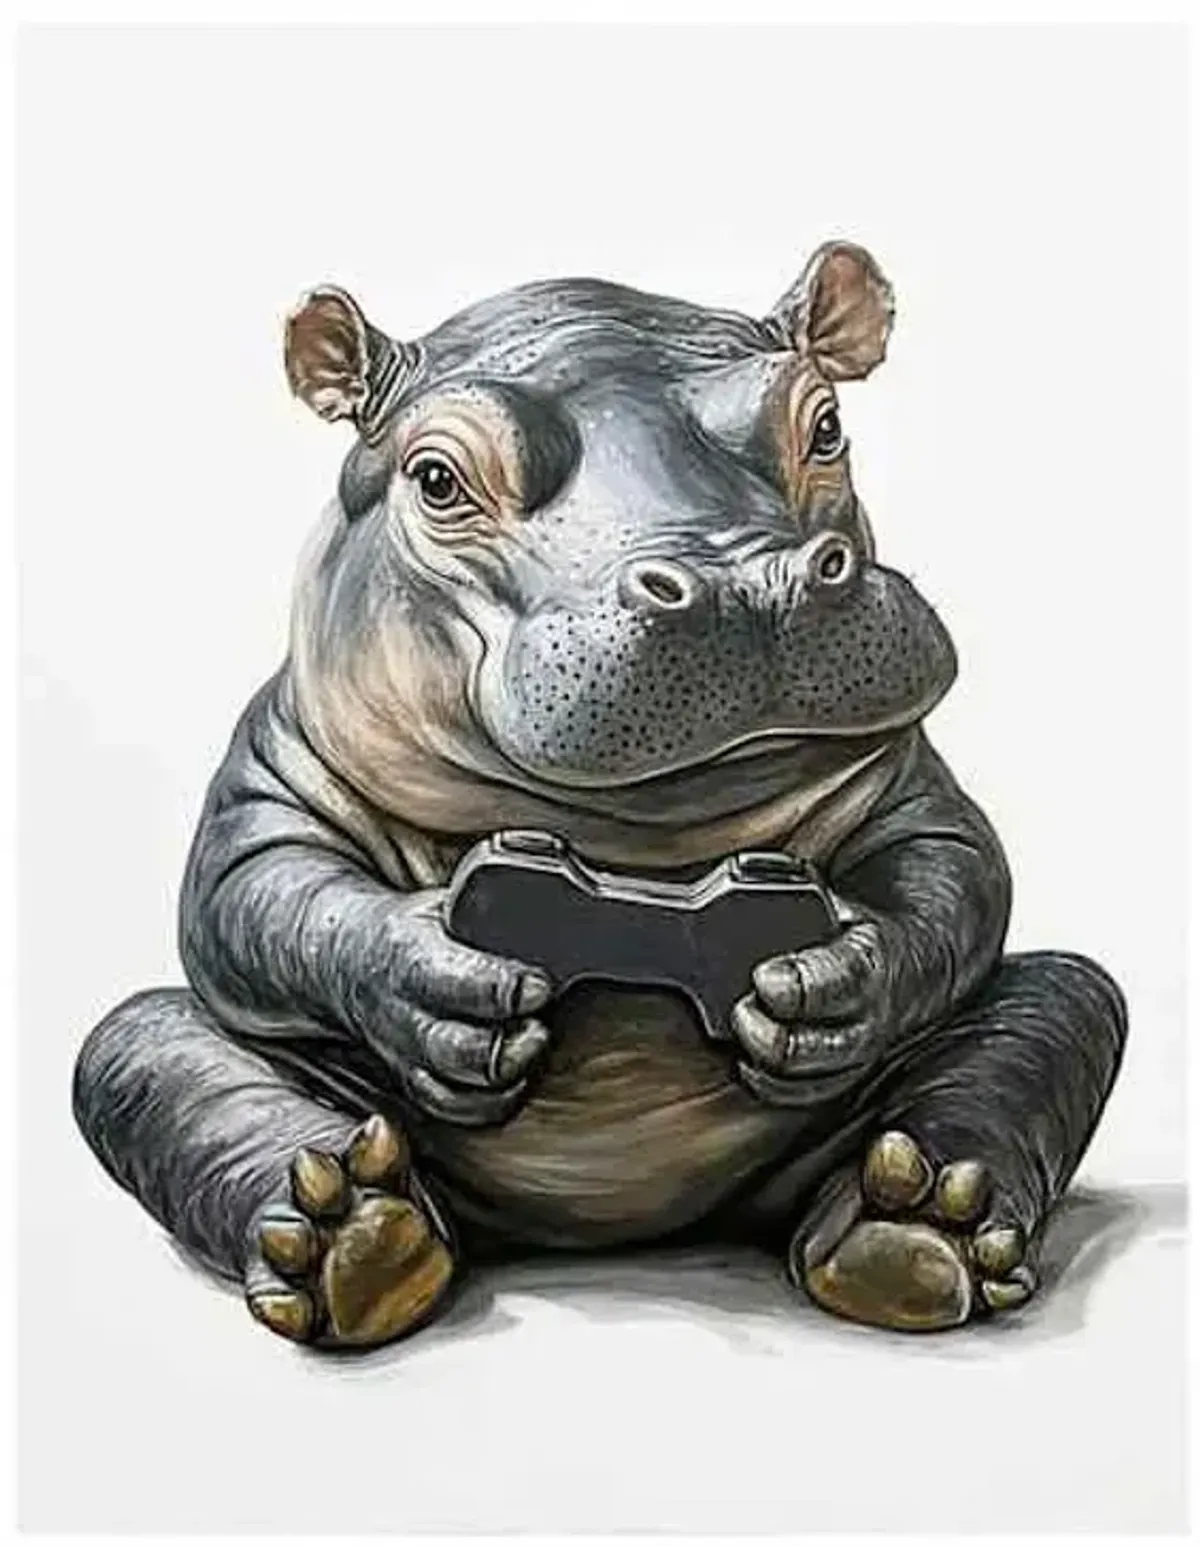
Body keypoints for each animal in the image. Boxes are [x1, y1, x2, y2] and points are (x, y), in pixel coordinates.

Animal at [73, 242, 1127, 1347]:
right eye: (436, 477)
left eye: (827, 423)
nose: (749, 584)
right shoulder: (272, 778)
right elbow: (259, 896)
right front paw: (440, 981)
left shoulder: (913, 787)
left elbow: (956, 875)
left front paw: (830, 983)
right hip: (169, 1057)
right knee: (149, 1054)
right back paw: (351, 1237)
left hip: (1032, 1025)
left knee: (1048, 1018)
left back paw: (916, 1225)